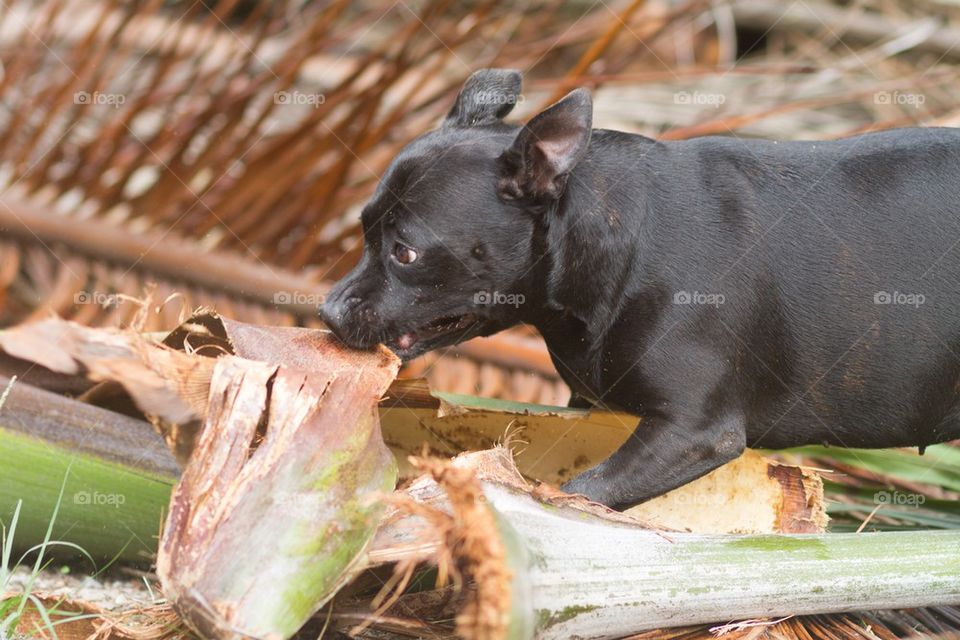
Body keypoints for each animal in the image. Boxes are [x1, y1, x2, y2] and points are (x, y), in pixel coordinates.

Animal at [320, 69, 960, 510]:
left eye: (404, 251)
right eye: (363, 229)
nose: (326, 309)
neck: (615, 239)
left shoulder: (693, 434)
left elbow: (583, 492)